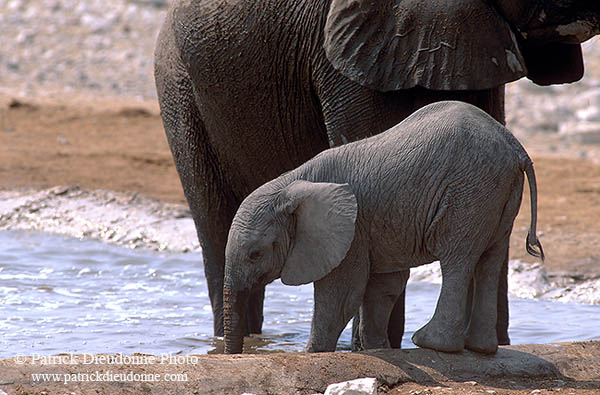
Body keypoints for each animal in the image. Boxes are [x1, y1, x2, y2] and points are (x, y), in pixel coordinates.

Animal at [221, 101, 544, 356]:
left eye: (255, 254)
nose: (237, 354)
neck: (291, 183)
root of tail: (516, 147)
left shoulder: (351, 230)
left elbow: (341, 294)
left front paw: (312, 354)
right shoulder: (370, 226)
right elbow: (383, 287)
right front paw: (377, 349)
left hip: (469, 192)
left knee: (458, 259)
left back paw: (431, 343)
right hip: (498, 193)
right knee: (489, 260)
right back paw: (482, 349)